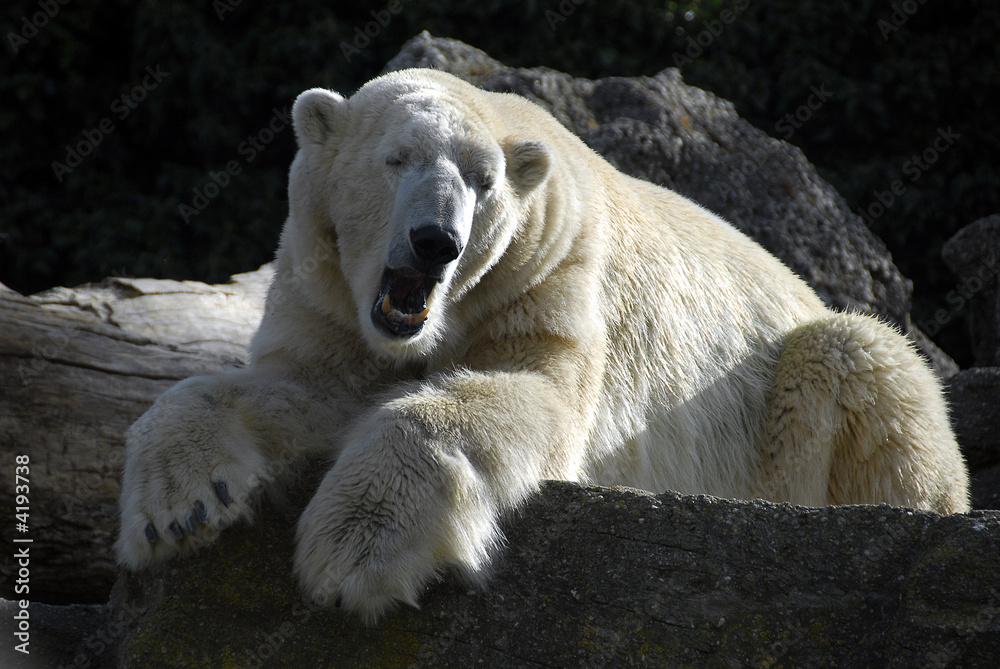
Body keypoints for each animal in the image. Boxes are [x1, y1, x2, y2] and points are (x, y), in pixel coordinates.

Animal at [116, 68, 970, 623]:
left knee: (856, 357)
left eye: (482, 180)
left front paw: (352, 551)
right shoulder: (327, 300)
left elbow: (525, 392)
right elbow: (306, 391)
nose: (436, 241)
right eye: (395, 158)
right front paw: (178, 503)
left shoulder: (546, 271)